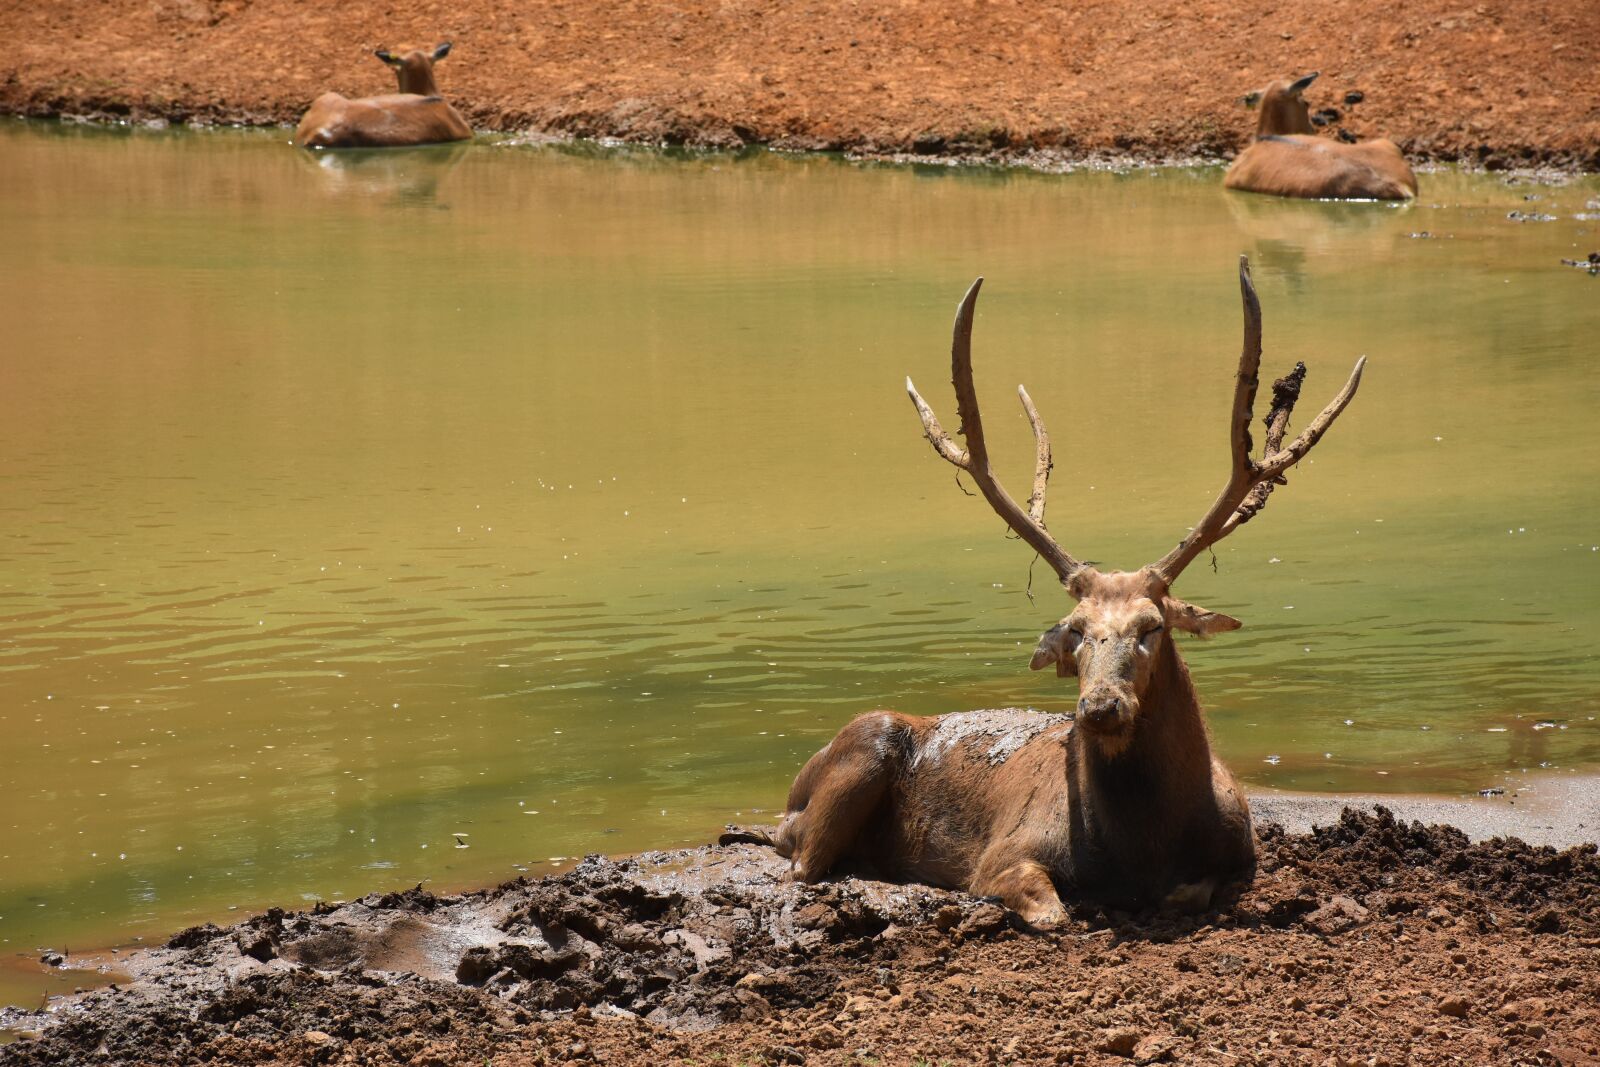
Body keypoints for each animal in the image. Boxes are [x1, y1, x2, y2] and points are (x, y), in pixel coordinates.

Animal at [723, 258, 1364, 924]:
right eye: (1076, 630)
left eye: (1153, 626)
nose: (1100, 706)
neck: (1146, 844)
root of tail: (791, 794)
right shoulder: (1002, 856)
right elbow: (1053, 911)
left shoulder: (1242, 859)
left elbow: (1189, 889)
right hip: (862, 746)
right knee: (800, 863)